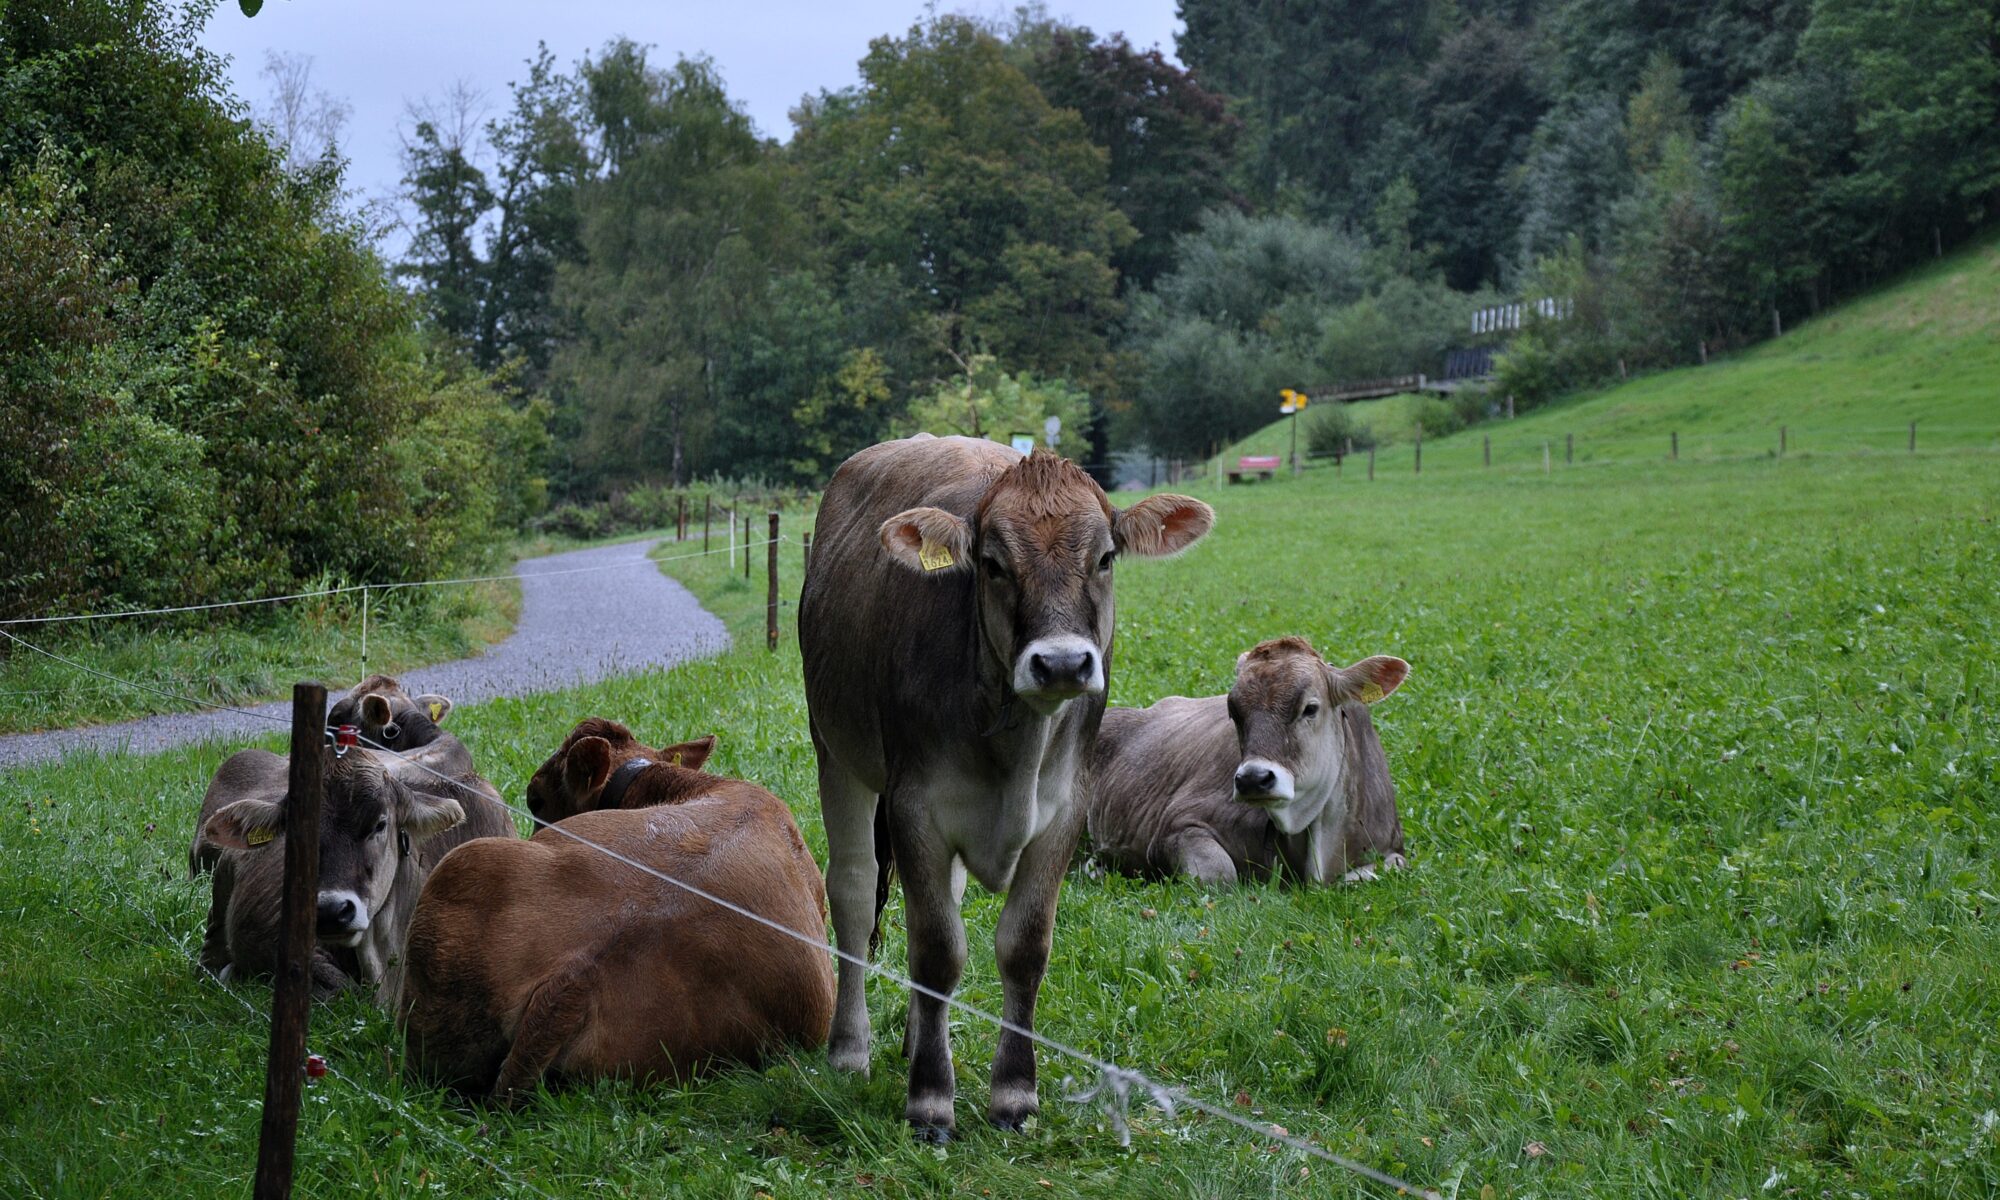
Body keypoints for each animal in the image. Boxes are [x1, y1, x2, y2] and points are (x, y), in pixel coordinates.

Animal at [800, 436, 1208, 1136]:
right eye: (992, 564)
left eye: (1105, 557)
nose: (1063, 662)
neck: (1018, 745)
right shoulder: (914, 807)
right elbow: (937, 951)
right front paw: (930, 1100)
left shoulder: (1065, 810)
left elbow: (1023, 947)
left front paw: (1014, 1093)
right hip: (836, 752)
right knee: (853, 892)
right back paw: (850, 1049)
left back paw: (918, 1038)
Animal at [1088, 636, 1416, 880]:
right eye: (1234, 711)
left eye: (1310, 708)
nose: (1253, 779)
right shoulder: (1175, 826)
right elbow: (1220, 873)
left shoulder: (1392, 849)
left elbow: (1380, 870)